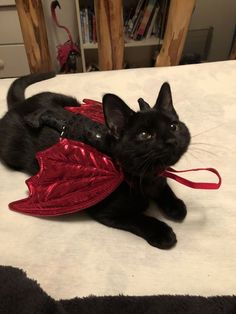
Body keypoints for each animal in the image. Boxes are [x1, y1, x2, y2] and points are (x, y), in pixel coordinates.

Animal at [0, 72, 191, 249]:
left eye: (174, 126)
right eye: (145, 135)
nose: (172, 140)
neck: (146, 176)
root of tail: (18, 105)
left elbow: (164, 188)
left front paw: (176, 206)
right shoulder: (108, 212)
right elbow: (138, 218)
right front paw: (162, 232)